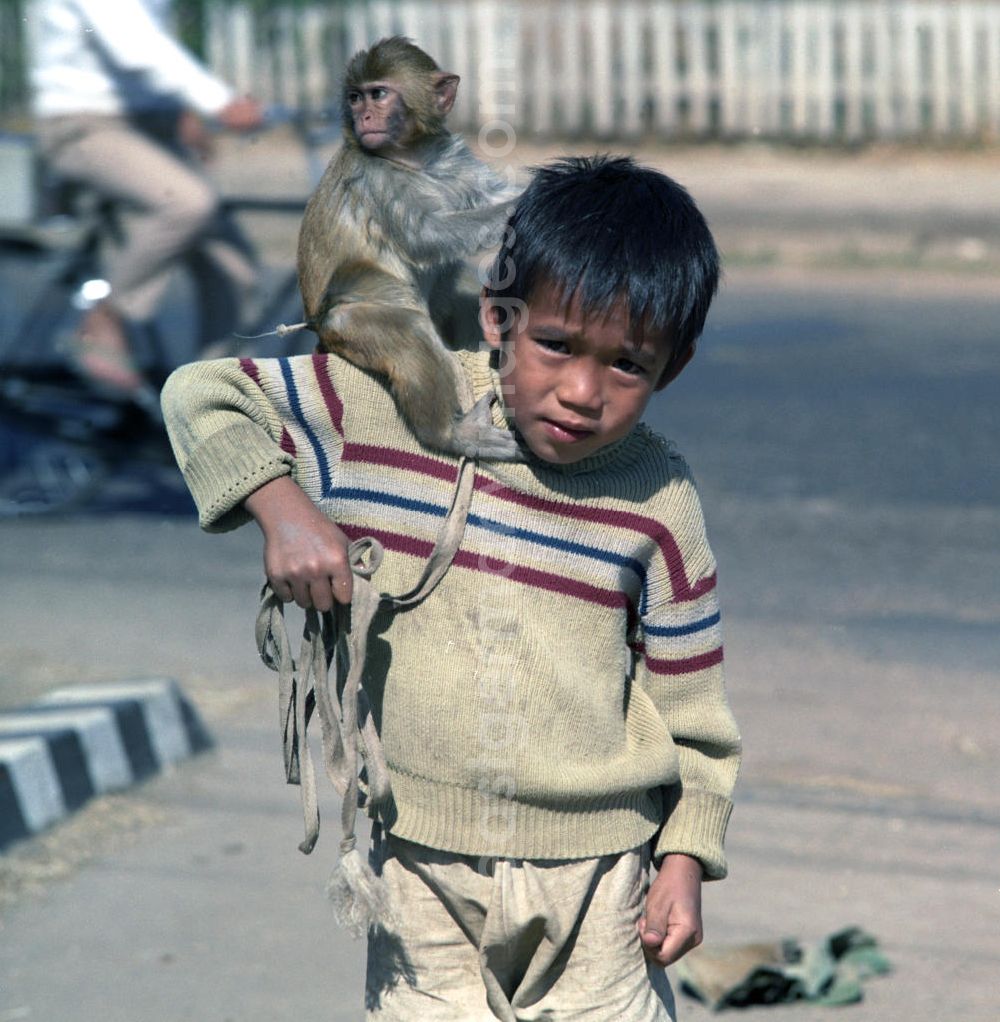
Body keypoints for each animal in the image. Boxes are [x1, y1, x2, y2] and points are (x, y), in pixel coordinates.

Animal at [296, 36, 521, 459]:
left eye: (378, 94)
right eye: (355, 98)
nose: (365, 117)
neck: (411, 157)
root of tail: (320, 333)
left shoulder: (450, 157)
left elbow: (487, 194)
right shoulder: (374, 177)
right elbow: (426, 236)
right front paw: (520, 203)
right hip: (347, 327)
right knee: (412, 330)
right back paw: (451, 435)